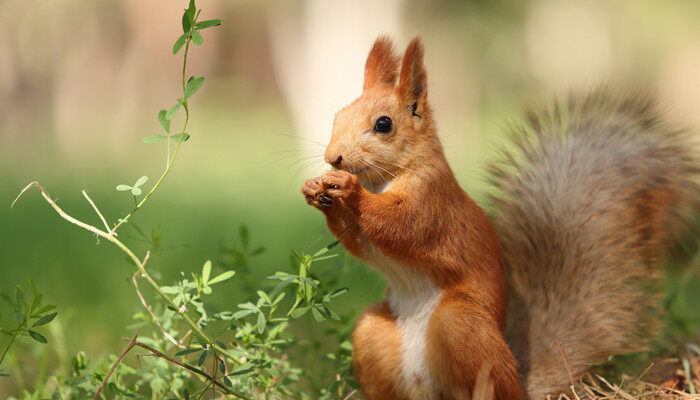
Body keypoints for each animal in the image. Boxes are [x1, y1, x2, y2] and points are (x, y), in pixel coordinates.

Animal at [300, 36, 700, 398]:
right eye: (338, 117)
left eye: (384, 124)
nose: (334, 158)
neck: (385, 180)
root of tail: (521, 384)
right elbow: (361, 243)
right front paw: (316, 190)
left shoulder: (432, 201)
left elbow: (401, 228)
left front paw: (348, 189)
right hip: (372, 334)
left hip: (462, 328)